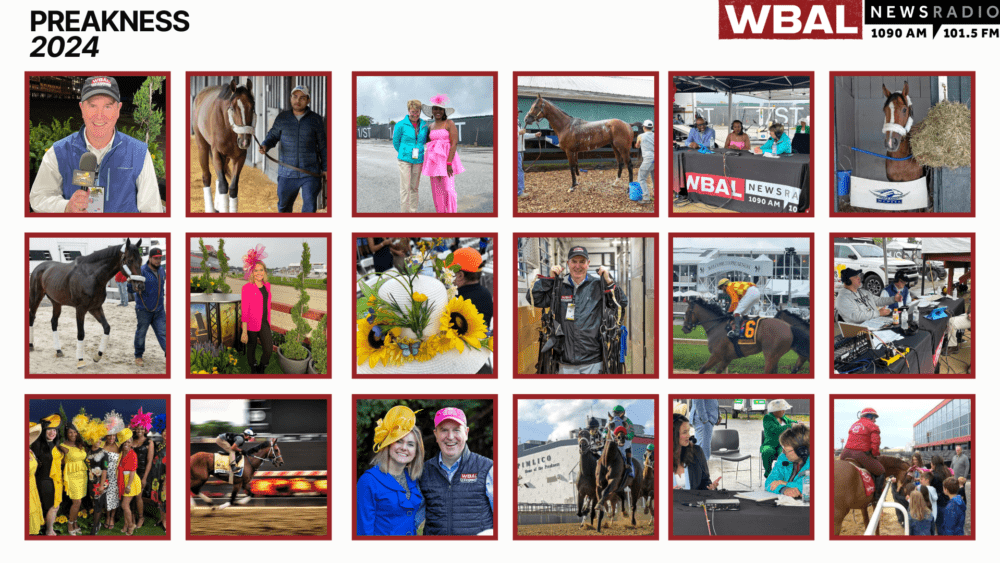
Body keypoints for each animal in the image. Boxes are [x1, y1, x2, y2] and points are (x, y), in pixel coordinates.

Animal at [28, 238, 145, 370]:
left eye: (141, 260)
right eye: (130, 260)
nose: (140, 286)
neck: (91, 276)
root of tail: (39, 267)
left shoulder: (95, 308)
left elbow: (107, 328)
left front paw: (97, 356)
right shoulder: (81, 309)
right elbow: (81, 333)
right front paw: (80, 360)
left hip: (56, 302)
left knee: (54, 322)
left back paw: (58, 350)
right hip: (36, 298)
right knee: (32, 317)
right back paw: (31, 345)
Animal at [191, 77, 254, 214]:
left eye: (252, 108)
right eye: (233, 108)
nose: (244, 142)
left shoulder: (240, 157)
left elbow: (233, 187)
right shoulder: (217, 154)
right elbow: (224, 185)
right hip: (202, 147)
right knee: (207, 177)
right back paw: (210, 209)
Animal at [680, 298, 812, 376]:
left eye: (687, 313)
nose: (684, 328)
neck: (716, 326)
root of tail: (789, 327)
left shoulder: (716, 355)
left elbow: (702, 370)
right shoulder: (726, 358)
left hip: (770, 355)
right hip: (776, 356)